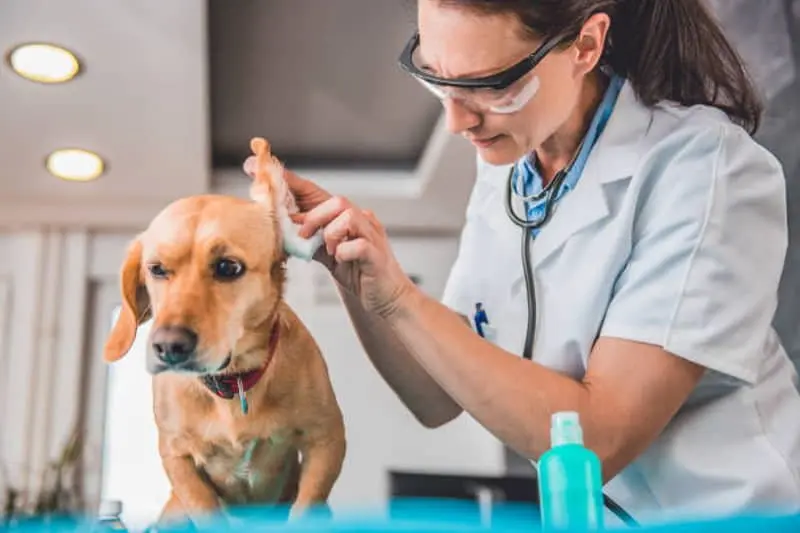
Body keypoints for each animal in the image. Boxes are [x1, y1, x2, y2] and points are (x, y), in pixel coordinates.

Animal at [102, 138, 344, 524]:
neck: (233, 383)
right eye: (156, 269)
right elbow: (203, 503)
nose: (168, 347)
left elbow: (305, 506)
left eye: (228, 267)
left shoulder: (327, 440)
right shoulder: (177, 457)